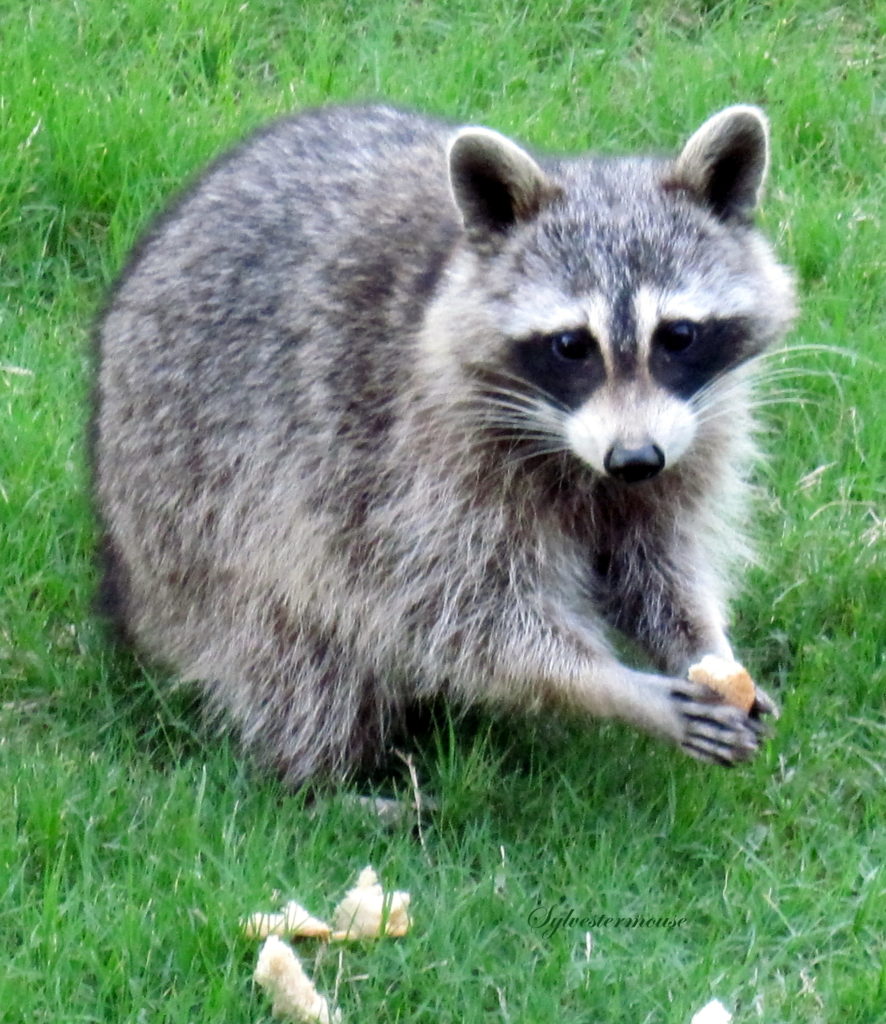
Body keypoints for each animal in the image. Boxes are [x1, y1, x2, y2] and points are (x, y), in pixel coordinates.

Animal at [90, 103, 794, 782]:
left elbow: (657, 561)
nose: (634, 460)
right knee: (295, 636)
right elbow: (459, 613)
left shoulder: (693, 432)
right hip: (194, 514)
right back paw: (324, 777)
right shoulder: (402, 463)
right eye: (571, 345)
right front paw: (610, 685)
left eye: (678, 336)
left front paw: (704, 641)